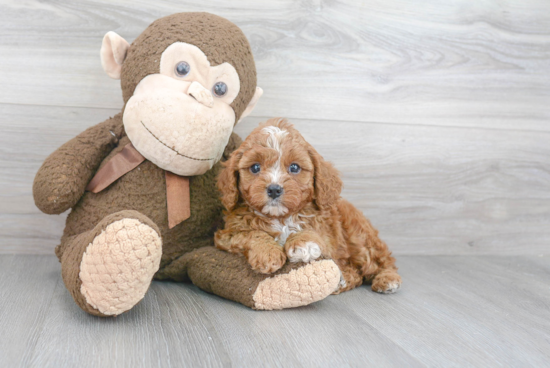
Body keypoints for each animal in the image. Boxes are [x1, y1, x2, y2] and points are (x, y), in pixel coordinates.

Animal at [217, 119, 406, 294]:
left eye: (294, 167)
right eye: (255, 167)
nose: (274, 189)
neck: (281, 217)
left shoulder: (328, 234)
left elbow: (312, 232)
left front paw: (303, 244)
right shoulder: (225, 235)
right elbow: (250, 234)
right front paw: (267, 252)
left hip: (361, 240)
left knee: (381, 262)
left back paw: (388, 279)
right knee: (357, 273)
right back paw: (342, 280)